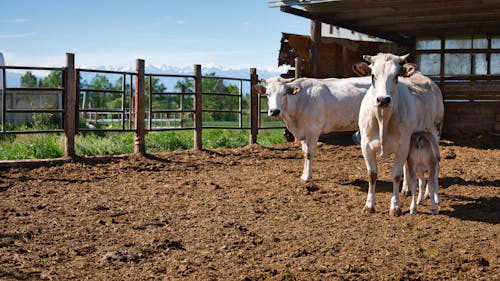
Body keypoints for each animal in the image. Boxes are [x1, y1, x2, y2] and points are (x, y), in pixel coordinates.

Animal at [354, 52, 444, 214]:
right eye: (372, 75)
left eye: (396, 76)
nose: (383, 100)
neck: (383, 119)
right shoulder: (366, 145)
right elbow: (372, 174)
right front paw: (369, 205)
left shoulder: (403, 145)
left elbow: (396, 175)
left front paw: (395, 206)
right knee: (407, 168)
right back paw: (407, 189)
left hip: (434, 135)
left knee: (433, 170)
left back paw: (430, 193)